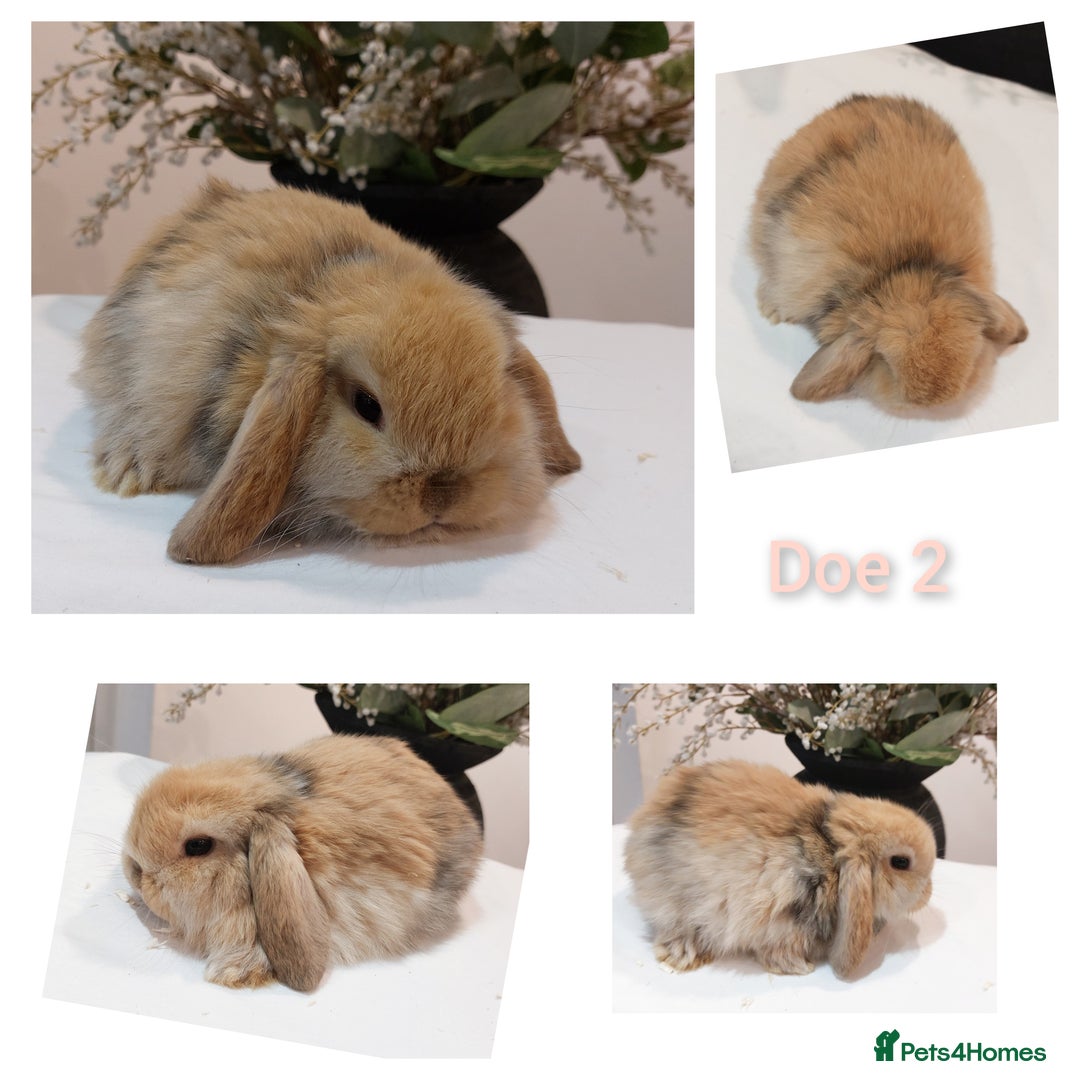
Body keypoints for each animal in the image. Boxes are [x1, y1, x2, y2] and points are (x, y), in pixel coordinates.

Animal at [624, 760, 936, 978]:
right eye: (901, 862)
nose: (927, 895)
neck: (831, 855)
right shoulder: (780, 922)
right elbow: (779, 950)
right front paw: (799, 967)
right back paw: (684, 954)